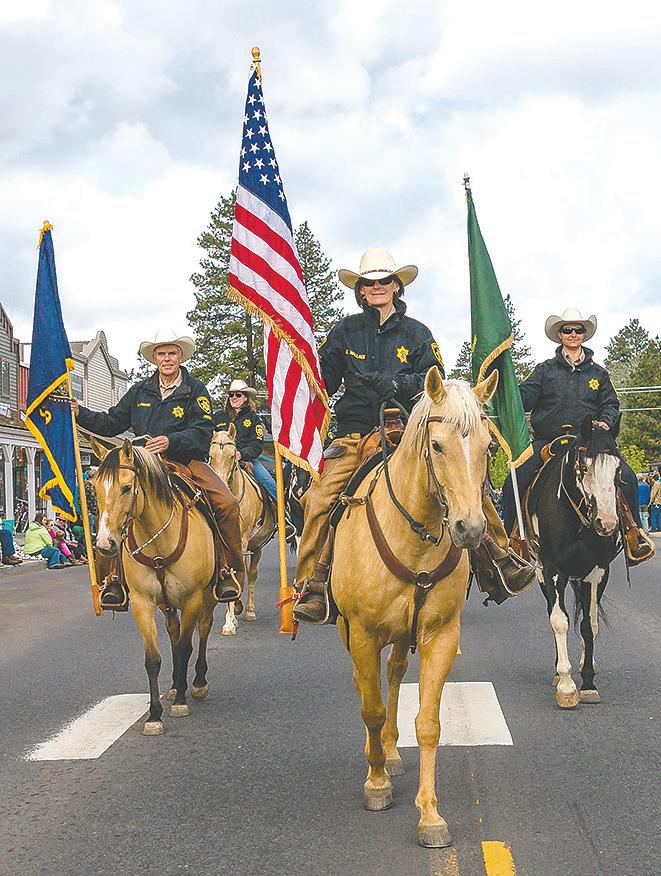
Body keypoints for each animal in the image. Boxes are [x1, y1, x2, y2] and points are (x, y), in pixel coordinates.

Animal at [92, 439, 217, 735]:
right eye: (94, 487)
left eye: (127, 487)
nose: (104, 544)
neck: (159, 539)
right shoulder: (143, 603)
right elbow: (153, 658)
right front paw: (154, 715)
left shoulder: (193, 598)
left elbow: (185, 648)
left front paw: (181, 701)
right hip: (166, 604)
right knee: (173, 632)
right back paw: (173, 685)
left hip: (207, 597)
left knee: (203, 630)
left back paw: (197, 682)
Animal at [209, 426, 276, 634]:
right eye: (210, 456)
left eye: (232, 456)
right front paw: (231, 618)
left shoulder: (242, 541)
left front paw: (230, 621)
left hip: (257, 546)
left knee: (252, 574)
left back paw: (248, 611)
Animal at [329, 367, 498, 848]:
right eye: (437, 445)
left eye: (489, 446)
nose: (469, 528)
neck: (414, 535)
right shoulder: (363, 633)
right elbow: (370, 708)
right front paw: (376, 784)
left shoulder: (440, 634)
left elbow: (428, 723)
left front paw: (430, 814)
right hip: (351, 632)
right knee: (366, 685)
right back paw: (377, 759)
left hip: (403, 635)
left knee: (394, 673)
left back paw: (389, 751)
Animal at [525, 416, 621, 708]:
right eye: (585, 467)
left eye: (618, 471)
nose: (607, 524)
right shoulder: (553, 570)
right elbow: (559, 621)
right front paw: (566, 685)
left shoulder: (597, 573)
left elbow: (588, 626)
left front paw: (588, 682)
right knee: (554, 613)